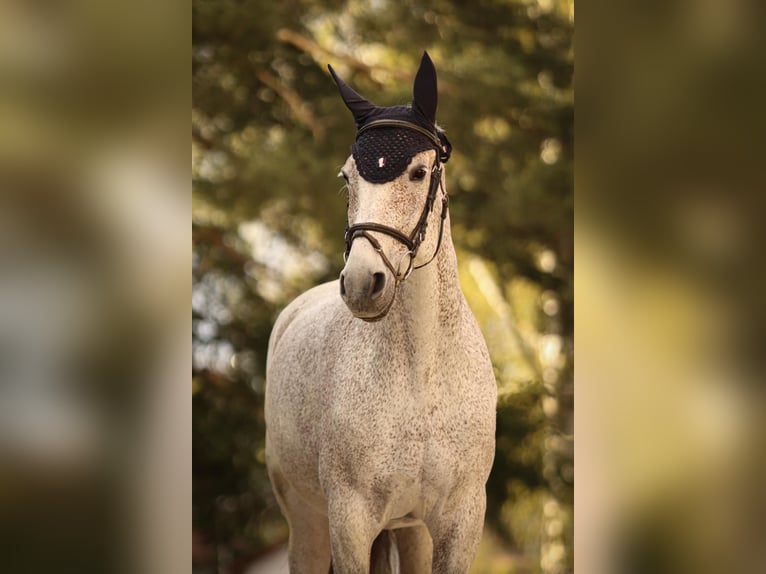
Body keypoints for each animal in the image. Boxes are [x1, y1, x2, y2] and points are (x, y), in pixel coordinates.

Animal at [265, 52, 496, 573]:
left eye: (418, 172)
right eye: (346, 176)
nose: (361, 284)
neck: (421, 373)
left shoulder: (460, 523)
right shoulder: (350, 522)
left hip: (412, 533)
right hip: (307, 523)